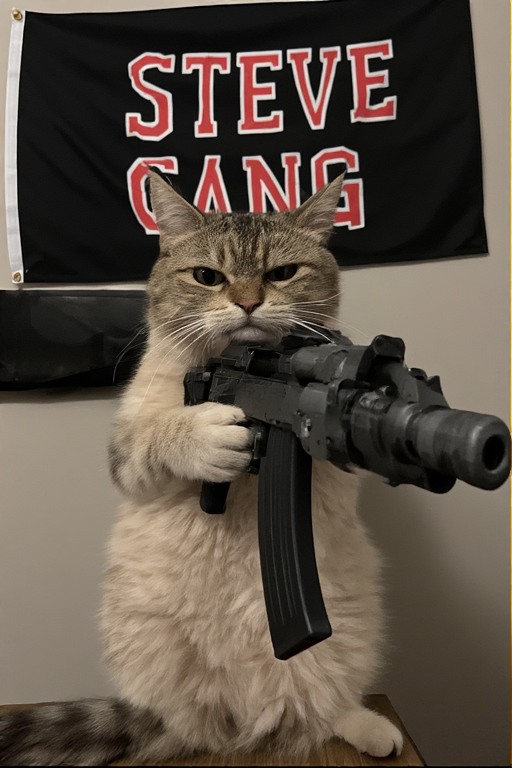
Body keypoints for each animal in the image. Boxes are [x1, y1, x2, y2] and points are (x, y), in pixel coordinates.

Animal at [0, 172, 403, 765]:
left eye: (283, 273)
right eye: (208, 277)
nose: (249, 302)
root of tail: (240, 717)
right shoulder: (126, 449)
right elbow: (162, 435)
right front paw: (206, 434)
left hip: (346, 635)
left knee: (321, 705)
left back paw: (367, 726)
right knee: (187, 723)